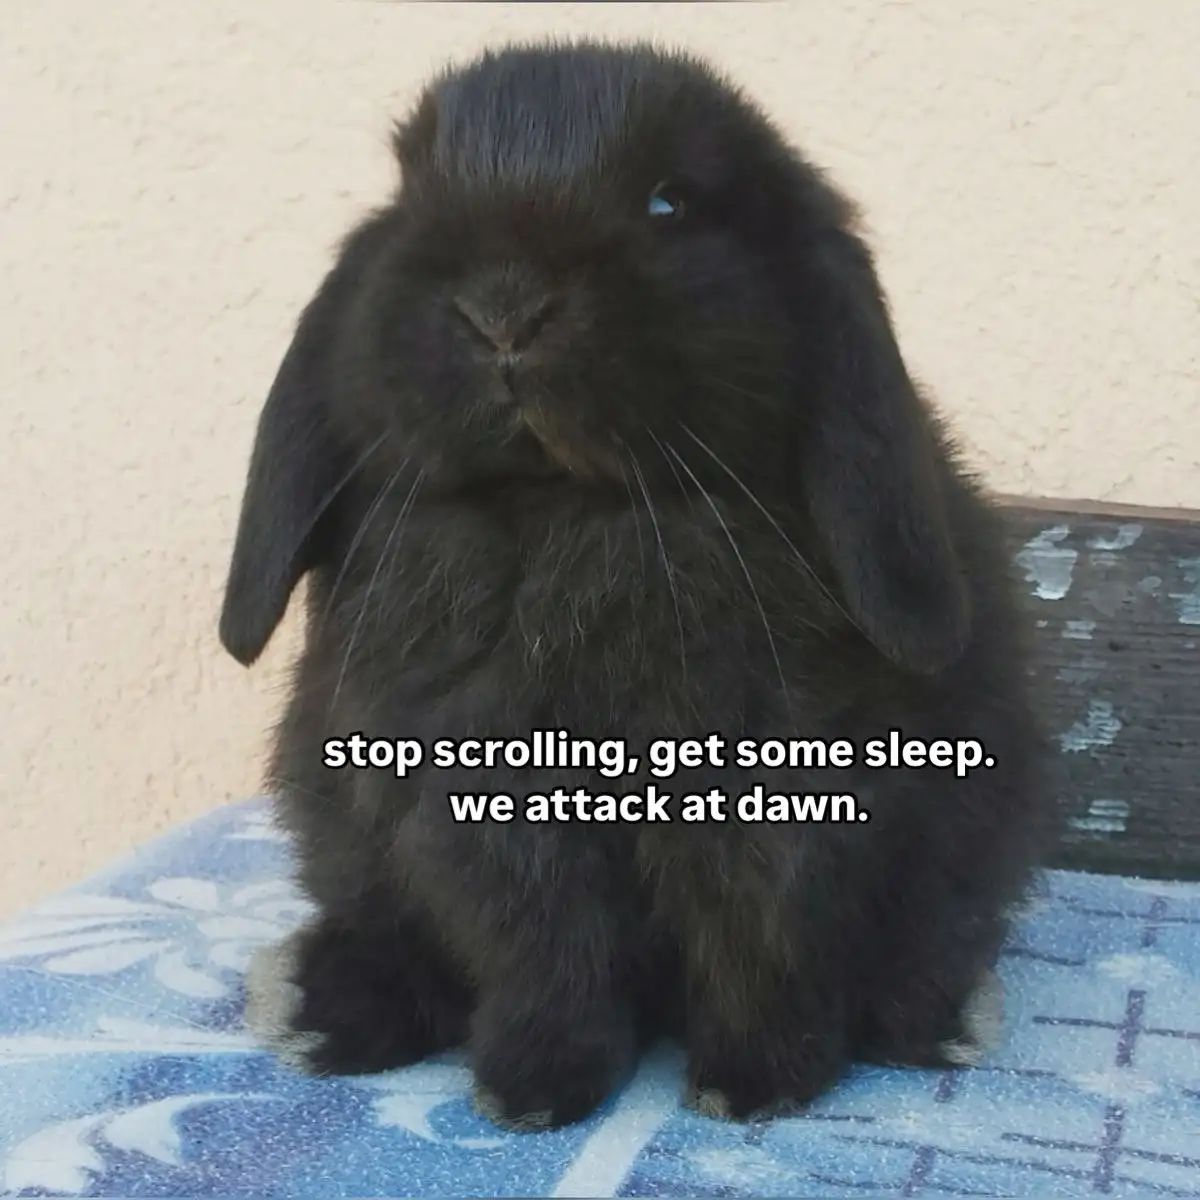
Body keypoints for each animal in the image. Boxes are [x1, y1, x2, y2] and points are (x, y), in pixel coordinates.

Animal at [221, 38, 1054, 1131]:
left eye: (670, 202)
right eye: (410, 193)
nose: (503, 310)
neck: (574, 514)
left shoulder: (778, 800)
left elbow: (758, 941)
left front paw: (755, 1085)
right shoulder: (487, 806)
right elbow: (546, 947)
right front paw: (535, 1090)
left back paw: (936, 1017)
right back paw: (320, 1009)